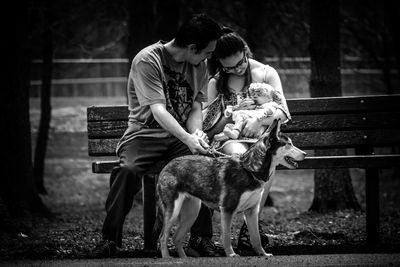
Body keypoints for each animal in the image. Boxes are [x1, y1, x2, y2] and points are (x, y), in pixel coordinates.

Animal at [156, 120, 306, 258]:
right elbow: (227, 237)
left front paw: (262, 254)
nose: (304, 153)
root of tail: (167, 165)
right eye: (288, 144)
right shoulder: (227, 210)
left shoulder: (252, 212)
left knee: (176, 238)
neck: (250, 170)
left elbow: (256, 238)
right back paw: (167, 258)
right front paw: (231, 254)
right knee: (163, 237)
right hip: (173, 210)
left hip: (191, 212)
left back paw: (184, 258)